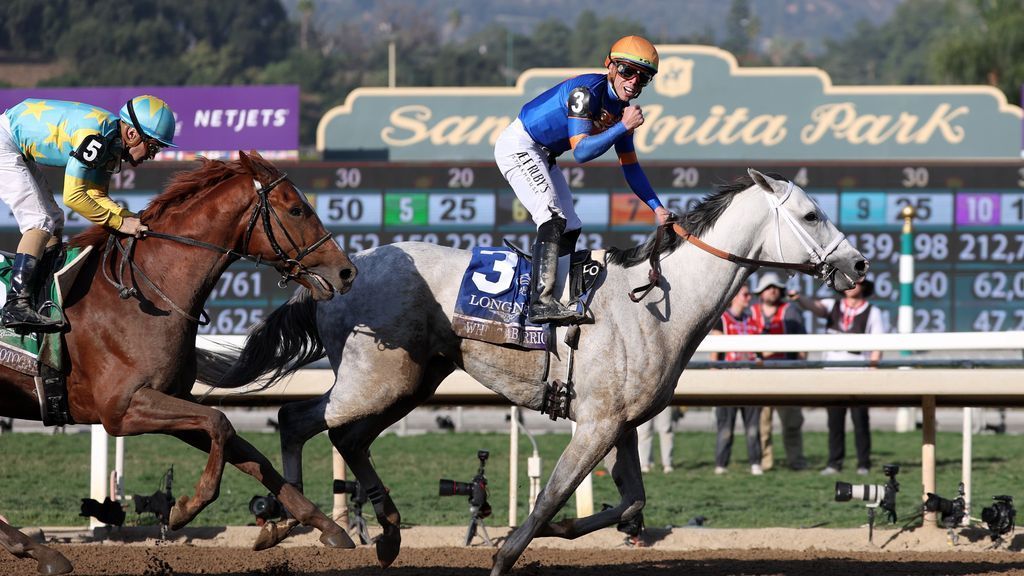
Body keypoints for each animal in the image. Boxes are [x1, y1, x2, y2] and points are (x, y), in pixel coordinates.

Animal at [0, 150, 360, 569]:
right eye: (297, 209)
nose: (347, 271)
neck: (146, 290)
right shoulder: (121, 409)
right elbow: (220, 423)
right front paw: (183, 509)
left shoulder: (171, 399)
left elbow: (248, 452)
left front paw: (320, 526)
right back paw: (38, 549)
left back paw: (35, 548)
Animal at [197, 168, 864, 569]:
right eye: (811, 215)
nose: (858, 266)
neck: (655, 302)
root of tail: (334, 274)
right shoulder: (597, 424)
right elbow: (550, 495)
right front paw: (506, 553)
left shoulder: (620, 424)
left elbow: (632, 502)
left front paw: (567, 533)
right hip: (376, 379)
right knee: (301, 419)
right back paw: (300, 522)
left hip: (412, 381)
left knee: (338, 434)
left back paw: (366, 528)